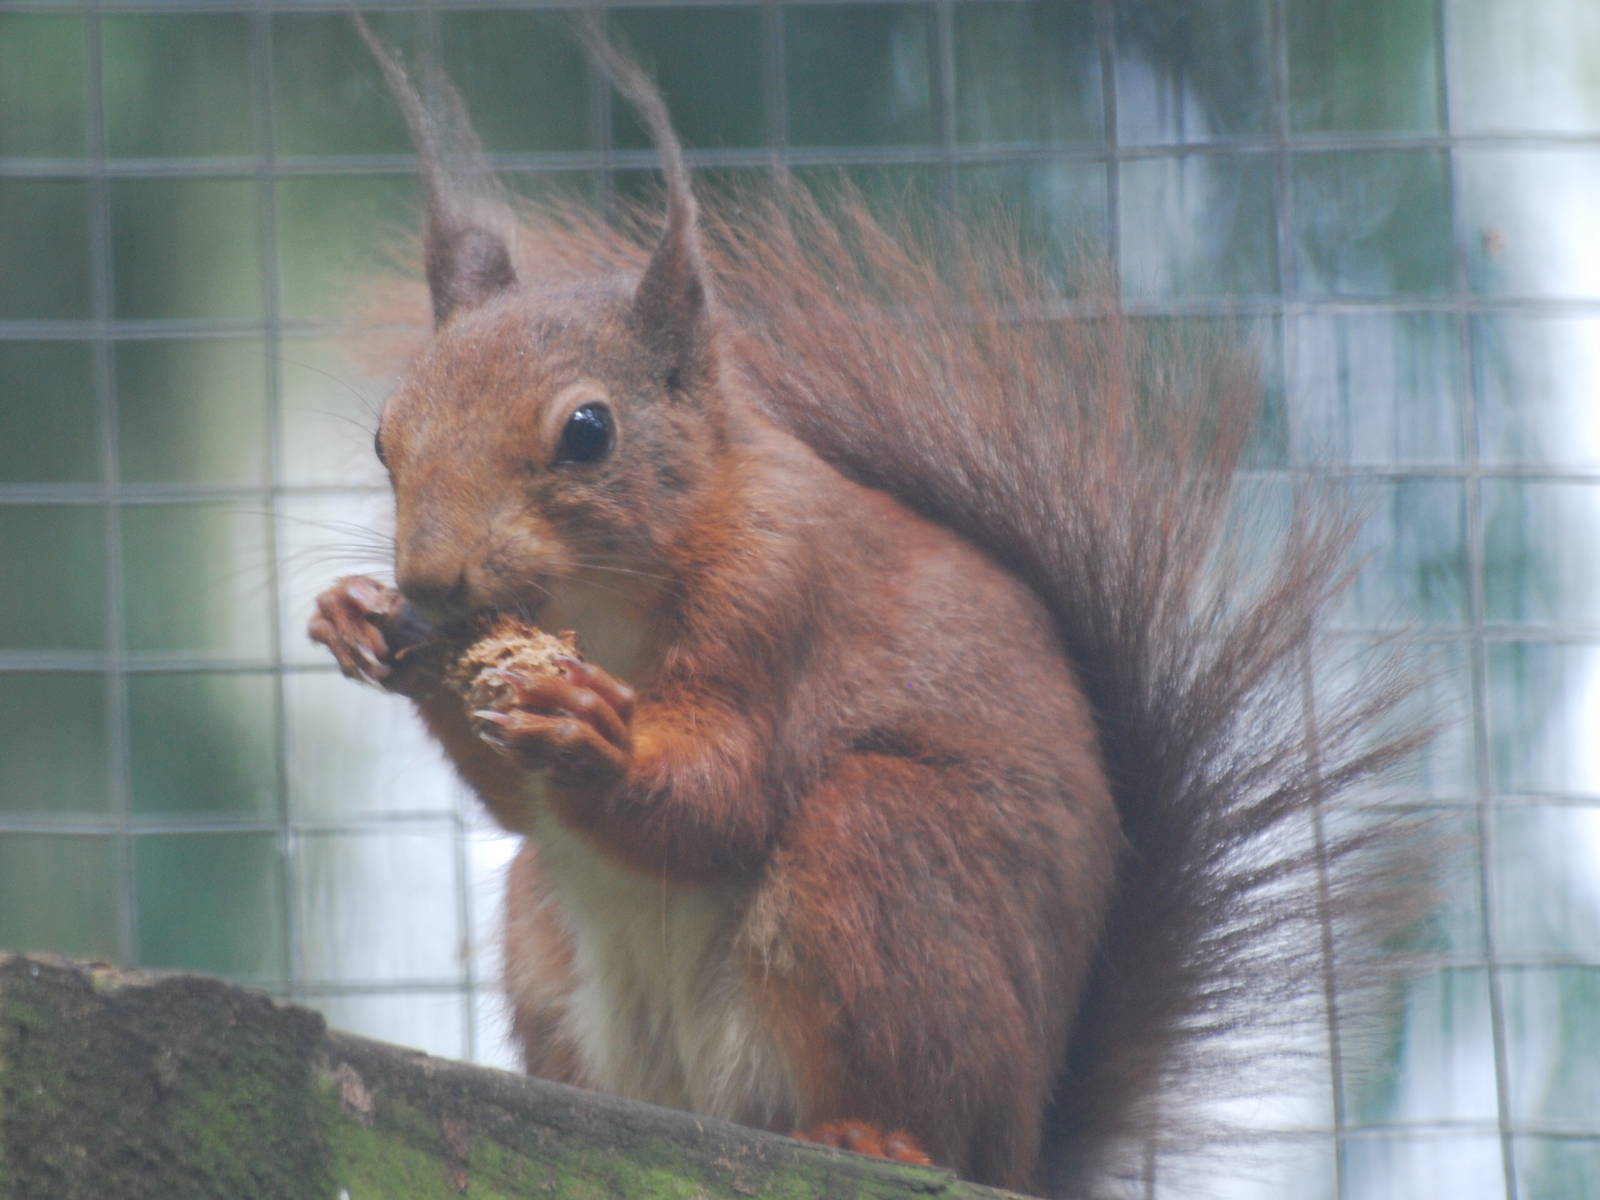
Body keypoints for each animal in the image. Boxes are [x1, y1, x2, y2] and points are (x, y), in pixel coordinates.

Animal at [309, 22, 1420, 1199]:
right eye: (384, 435)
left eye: (587, 431)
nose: (430, 581)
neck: (600, 600)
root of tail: (1023, 1145)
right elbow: (519, 807)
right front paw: (355, 616)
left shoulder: (779, 601)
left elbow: (727, 791)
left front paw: (591, 735)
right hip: (548, 942)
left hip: (883, 860)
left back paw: (871, 1136)